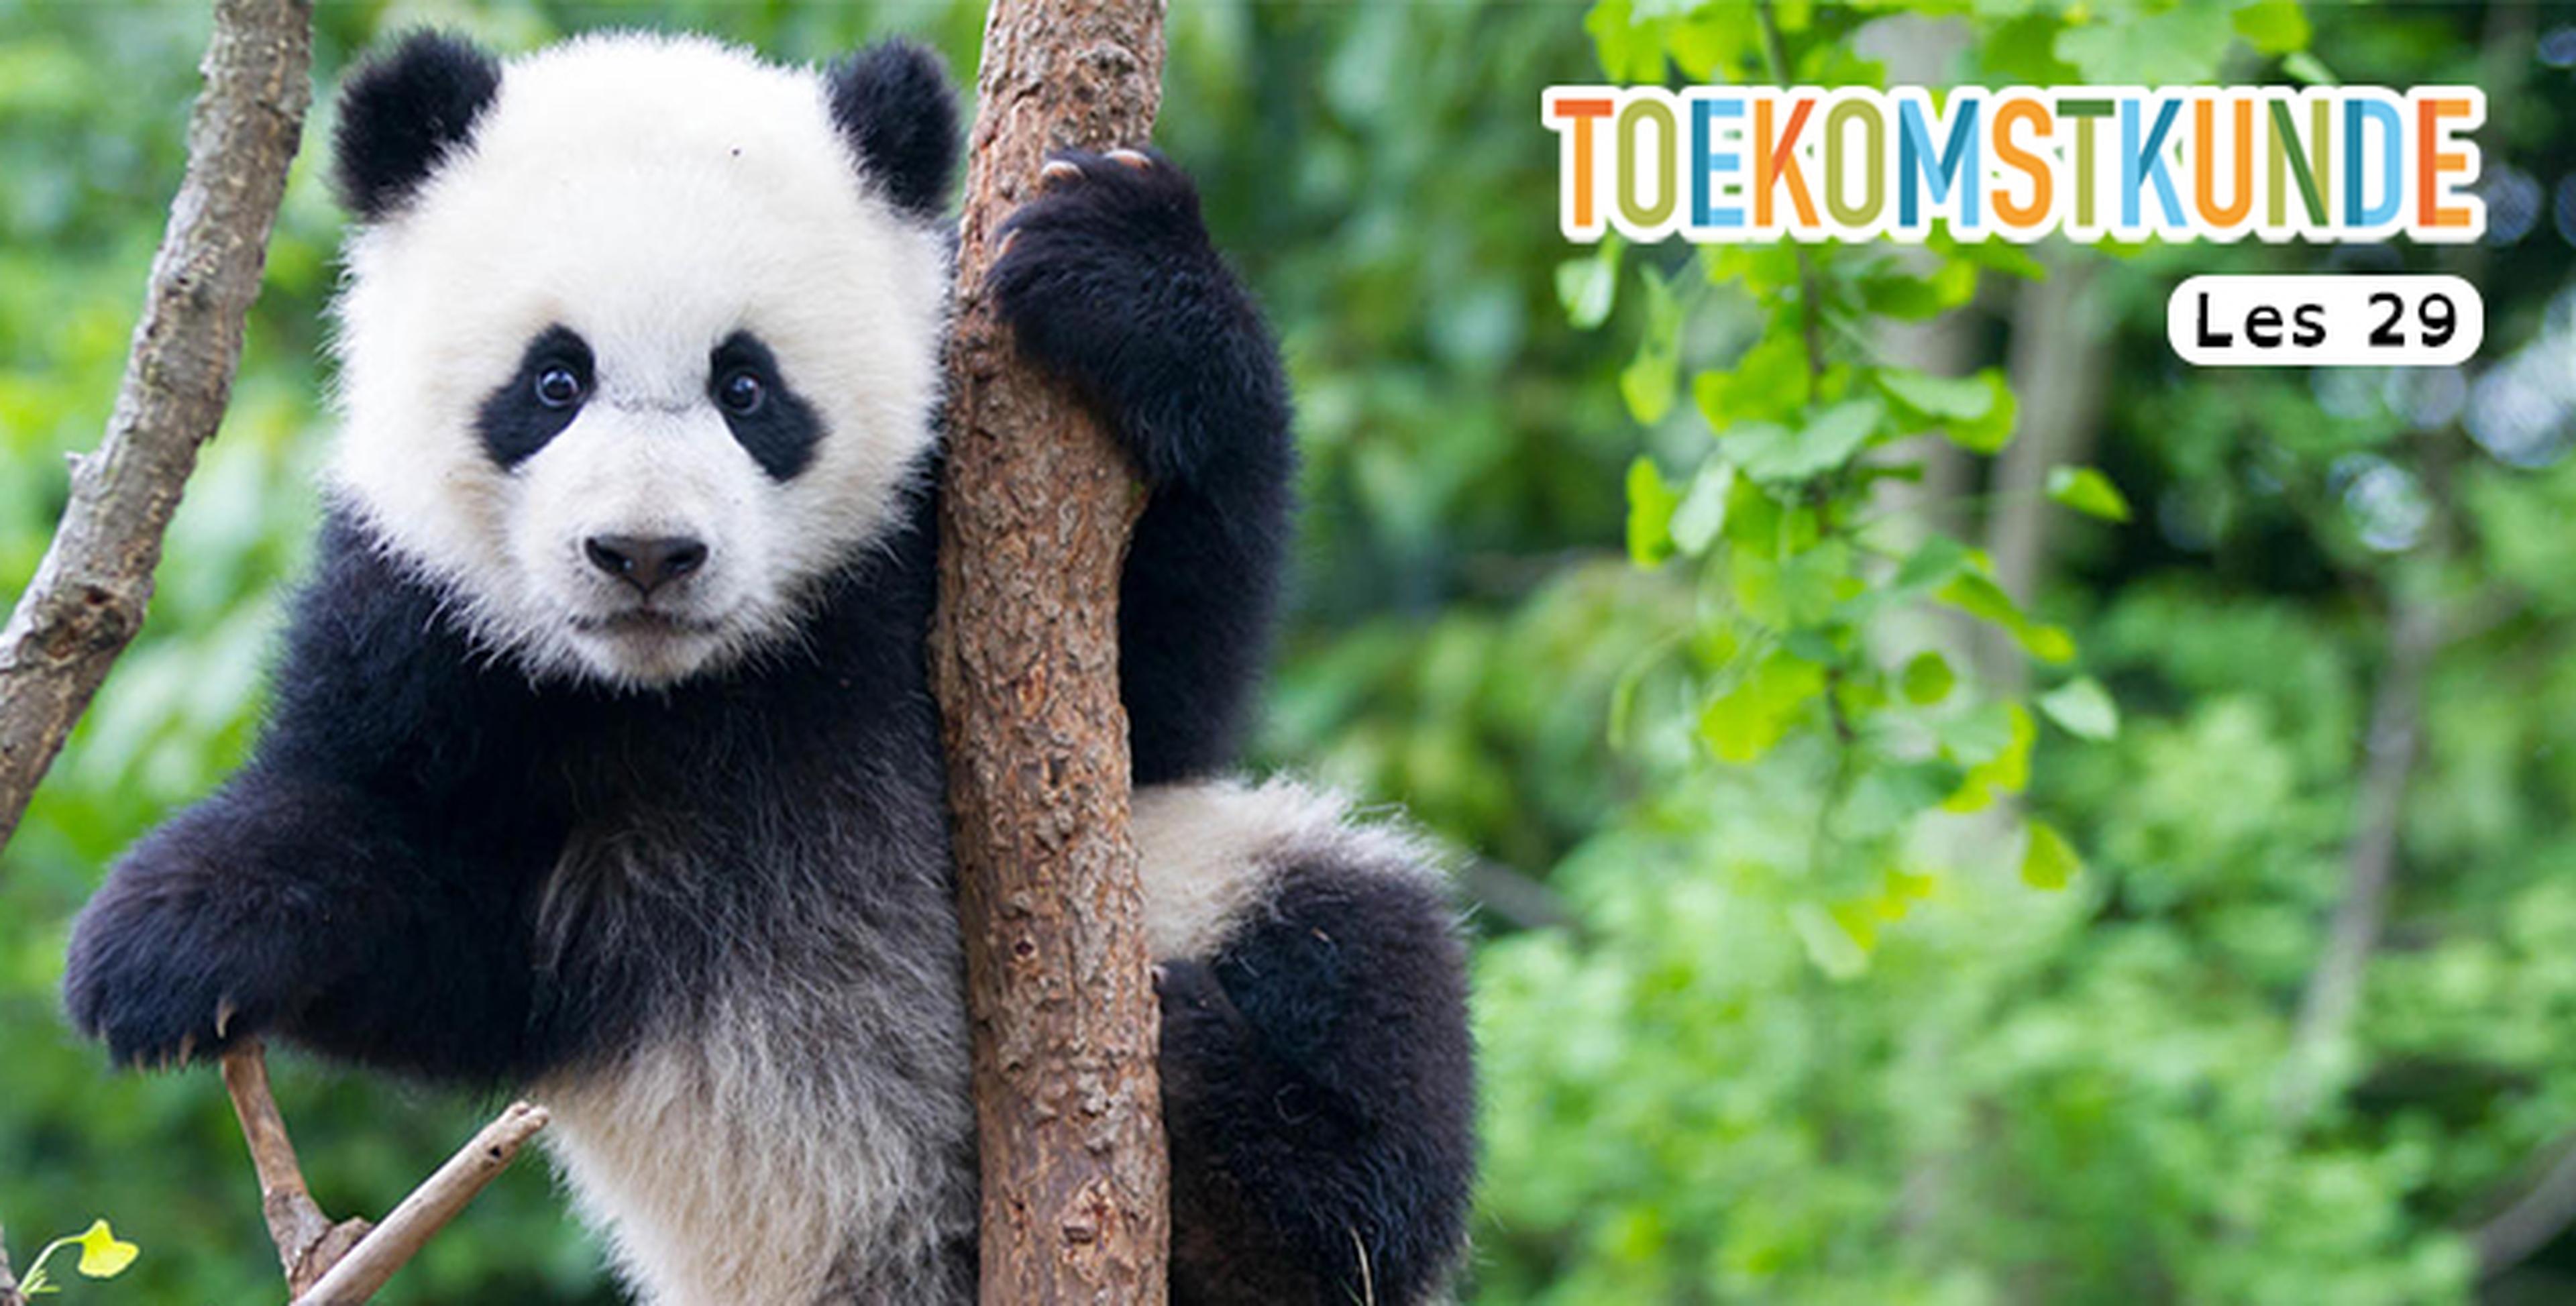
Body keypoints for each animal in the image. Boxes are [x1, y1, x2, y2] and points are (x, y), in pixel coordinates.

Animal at [60, 30, 1474, 1306]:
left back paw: (1249, 1160)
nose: (645, 554)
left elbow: (1166, 686)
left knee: (1369, 967)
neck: (694, 688)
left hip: (1206, 889)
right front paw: (168, 938)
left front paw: (1128, 273)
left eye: (748, 388)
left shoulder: (933, 548)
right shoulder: (427, 626)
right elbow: (433, 911)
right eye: (553, 380)